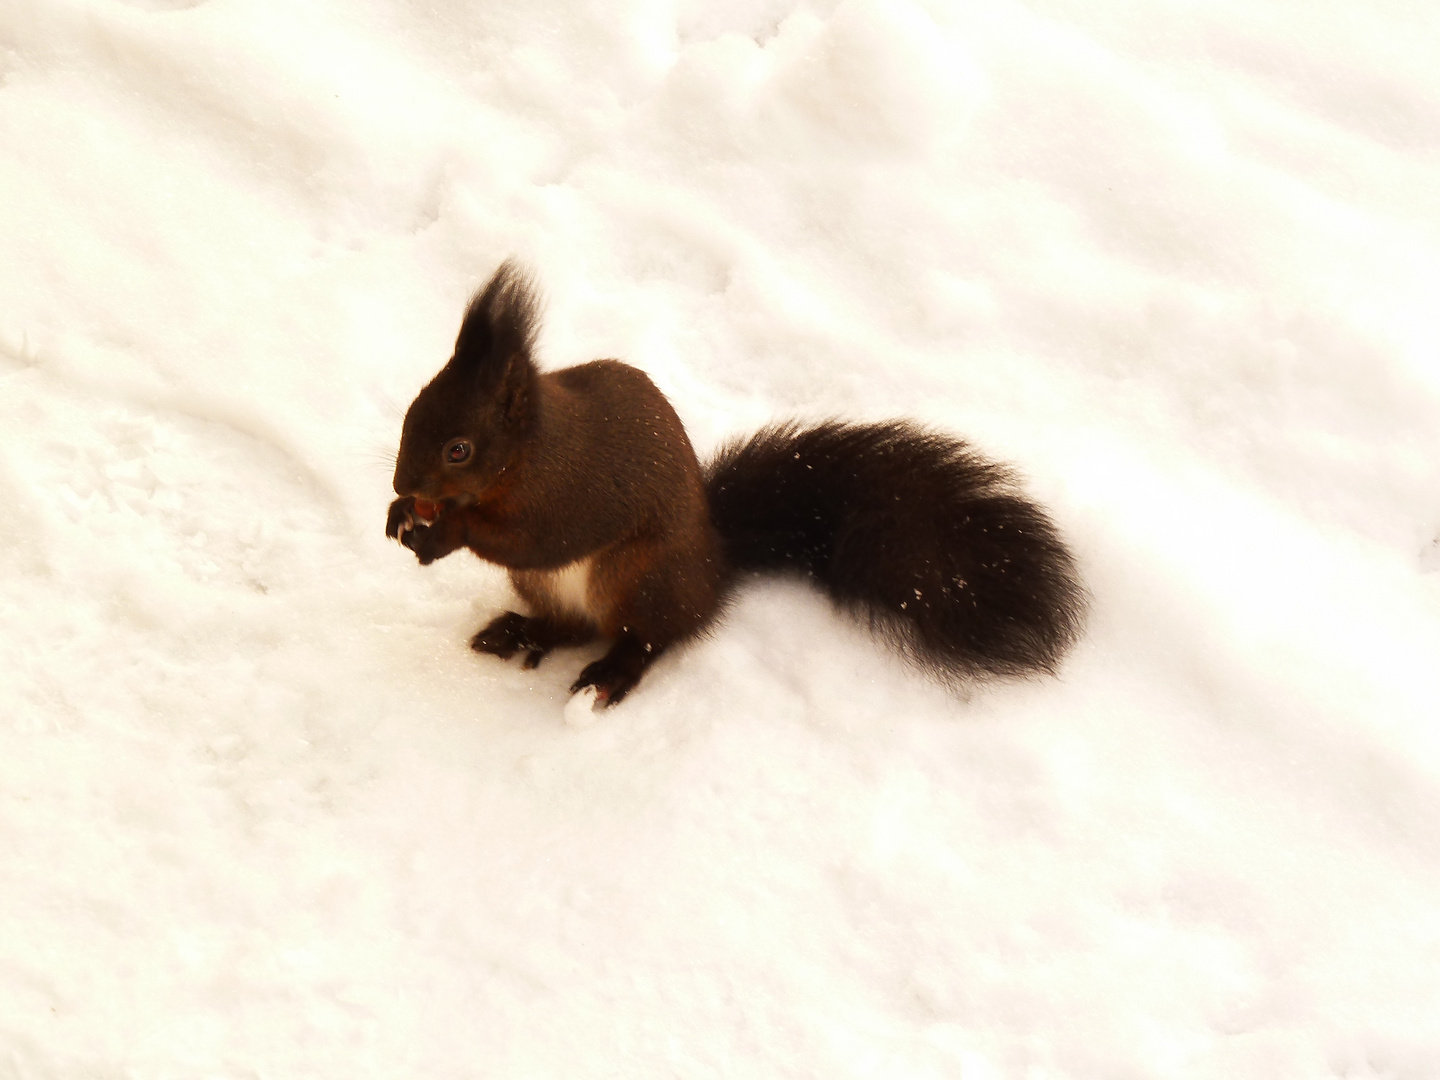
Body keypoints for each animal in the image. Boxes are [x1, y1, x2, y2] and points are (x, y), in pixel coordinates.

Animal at [388, 257, 1082, 705]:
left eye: (458, 449)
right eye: (413, 406)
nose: (401, 482)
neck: (529, 454)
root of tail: (716, 564)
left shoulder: (572, 493)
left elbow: (531, 538)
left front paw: (442, 532)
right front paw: (402, 516)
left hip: (643, 581)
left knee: (647, 638)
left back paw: (610, 675)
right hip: (552, 589)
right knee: (575, 626)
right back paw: (522, 631)